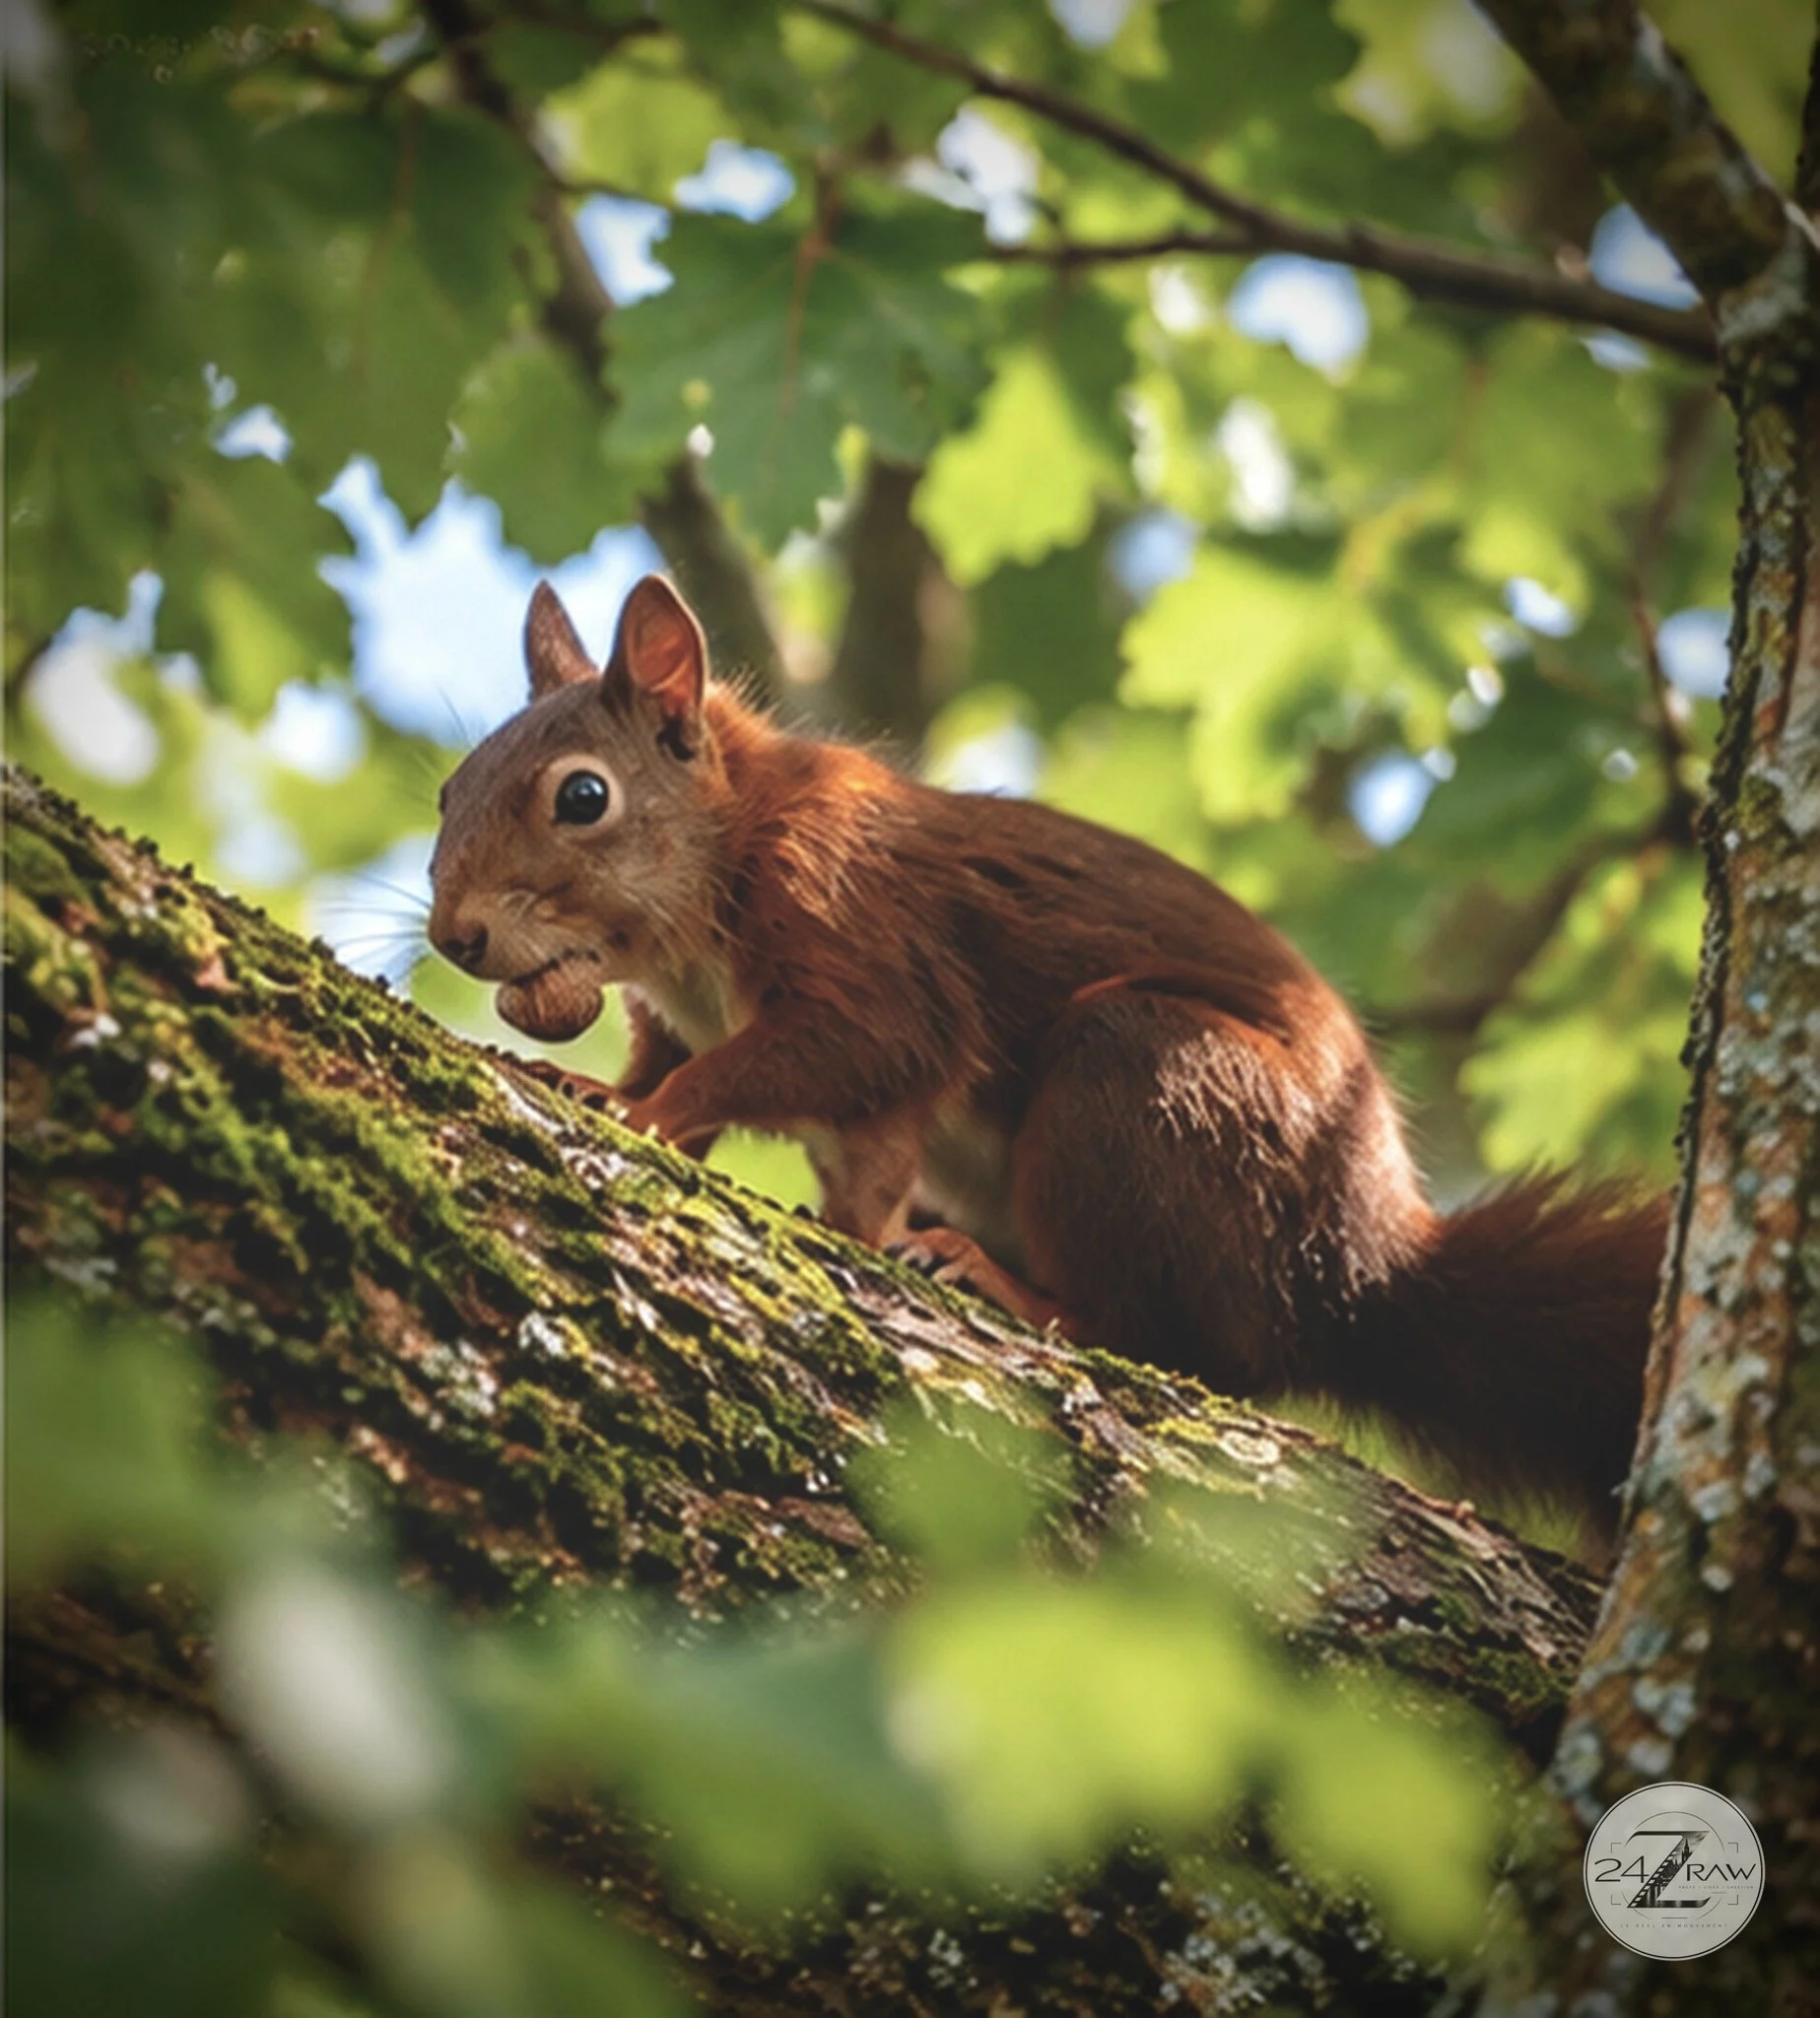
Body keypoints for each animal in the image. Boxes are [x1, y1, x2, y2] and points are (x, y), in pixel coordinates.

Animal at [429, 574, 1668, 1539]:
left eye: (583, 795)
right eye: (448, 786)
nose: (453, 936)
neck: (700, 903)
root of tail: (1359, 1262)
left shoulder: (866, 941)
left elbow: (827, 1065)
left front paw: (656, 1118)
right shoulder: (691, 1011)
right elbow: (688, 1069)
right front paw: (598, 1084)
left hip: (1151, 1082)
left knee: (1188, 1343)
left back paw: (1007, 1285)